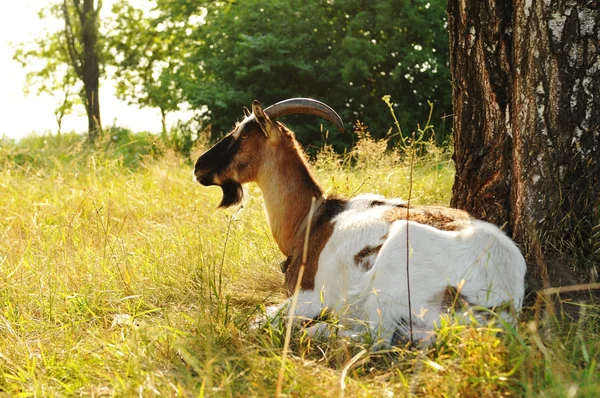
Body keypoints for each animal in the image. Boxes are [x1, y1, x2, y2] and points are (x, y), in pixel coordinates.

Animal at [196, 98, 524, 346]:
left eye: (242, 135)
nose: (199, 166)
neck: (314, 219)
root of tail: (500, 304)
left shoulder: (307, 296)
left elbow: (257, 321)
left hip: (392, 273)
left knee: (373, 337)